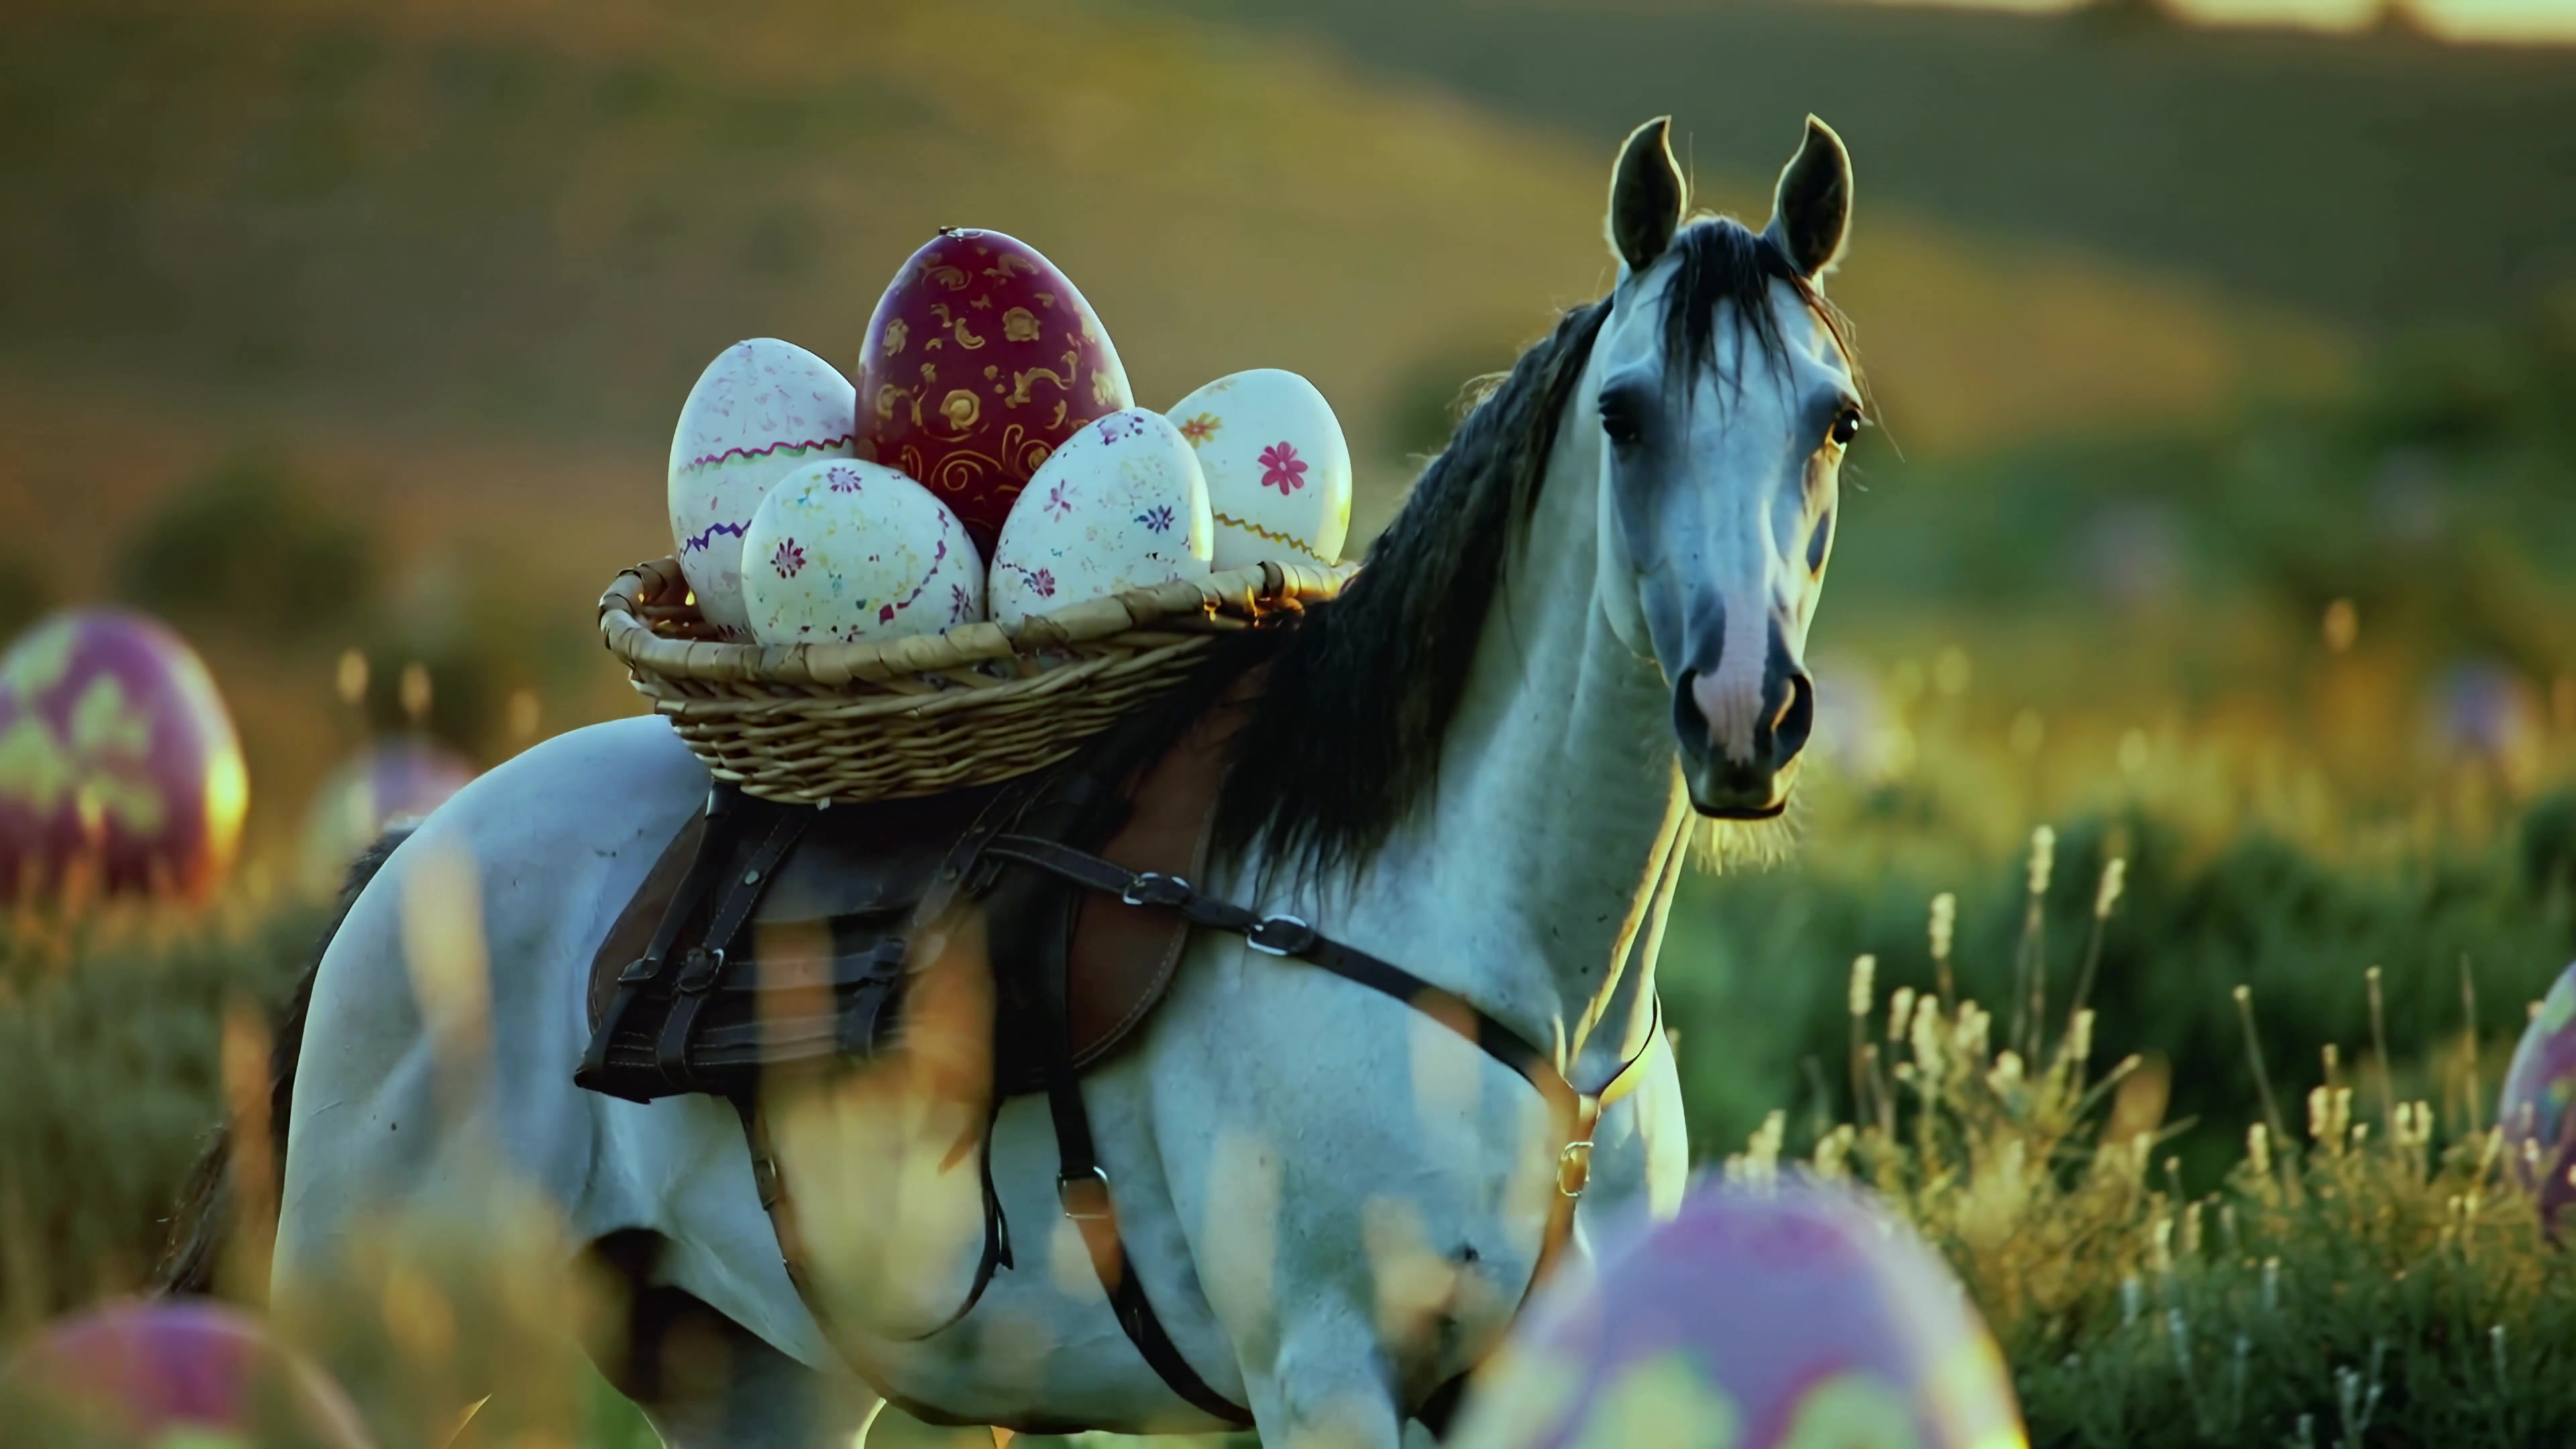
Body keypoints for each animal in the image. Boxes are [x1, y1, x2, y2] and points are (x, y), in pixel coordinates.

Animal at [183, 113, 1865, 1447]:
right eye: (1624, 416)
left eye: (1834, 421)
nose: (1742, 710)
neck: (1497, 970)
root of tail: (409, 860)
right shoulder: (1325, 1380)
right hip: (394, 1351)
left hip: (748, 1375)